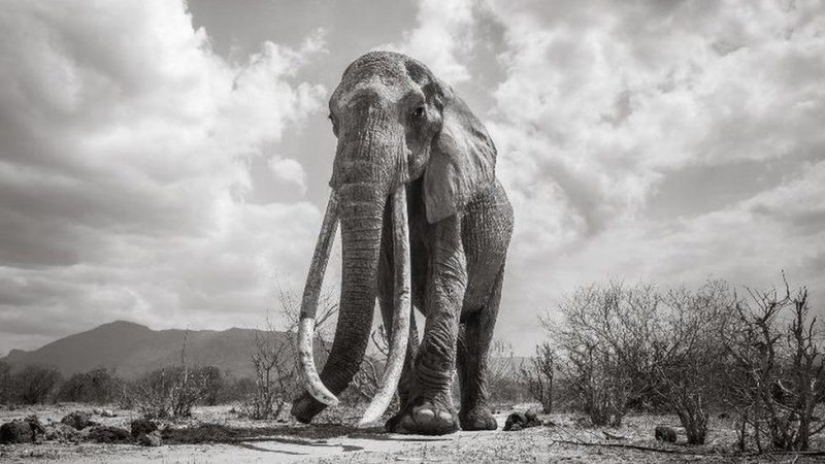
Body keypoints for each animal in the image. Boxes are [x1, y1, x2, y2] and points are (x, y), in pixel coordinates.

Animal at [290, 51, 514, 436]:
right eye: (332, 118)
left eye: (418, 112)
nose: (296, 409)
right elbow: (390, 284)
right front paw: (402, 422)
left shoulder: (450, 183)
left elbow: (449, 272)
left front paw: (430, 420)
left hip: (501, 255)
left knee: (481, 327)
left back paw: (478, 423)